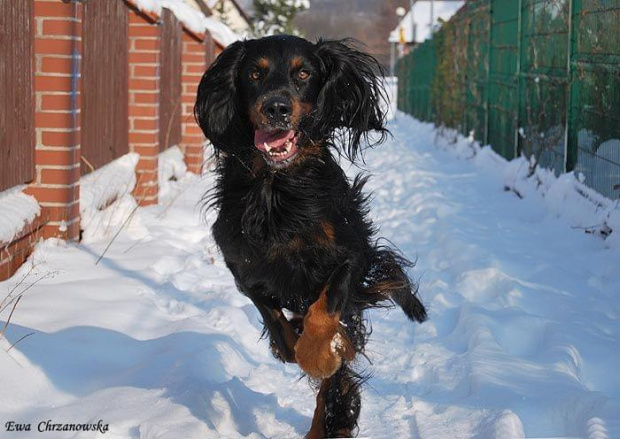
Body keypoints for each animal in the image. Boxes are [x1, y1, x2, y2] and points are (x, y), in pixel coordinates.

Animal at [195, 35, 426, 439]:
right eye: (254, 73)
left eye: (303, 74)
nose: (276, 108)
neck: (276, 187)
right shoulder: (243, 265)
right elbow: (279, 327)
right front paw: (297, 347)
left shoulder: (351, 254)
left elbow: (324, 314)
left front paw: (323, 355)